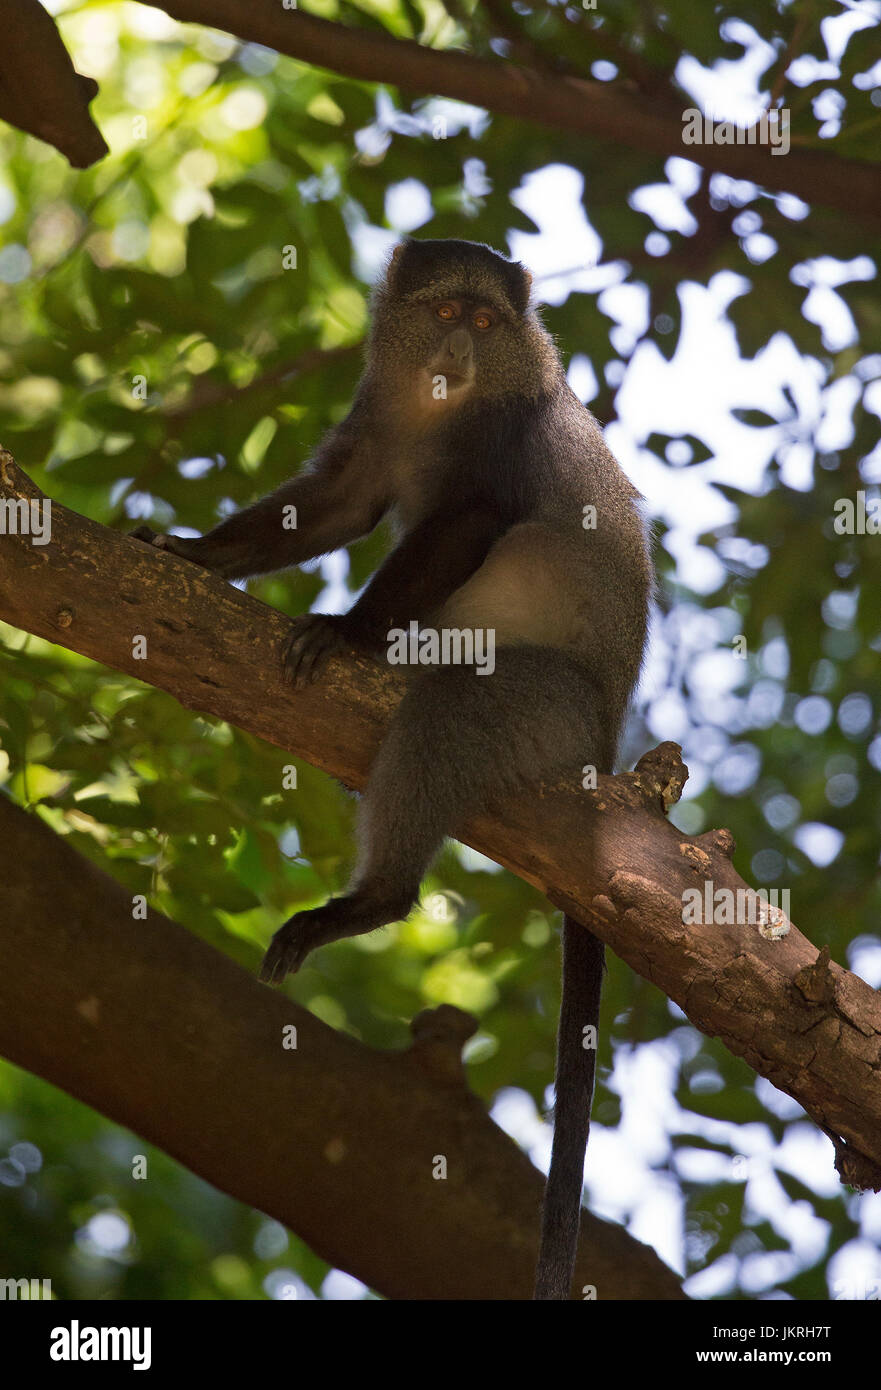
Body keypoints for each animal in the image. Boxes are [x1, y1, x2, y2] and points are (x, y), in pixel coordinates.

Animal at [134, 241, 647, 1301]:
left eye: (487, 325)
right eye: (445, 312)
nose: (457, 349)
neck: (437, 403)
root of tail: (607, 739)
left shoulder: (499, 444)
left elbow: (469, 522)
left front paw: (344, 629)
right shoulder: (373, 414)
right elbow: (339, 504)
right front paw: (192, 550)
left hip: (542, 706)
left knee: (449, 710)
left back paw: (375, 898)